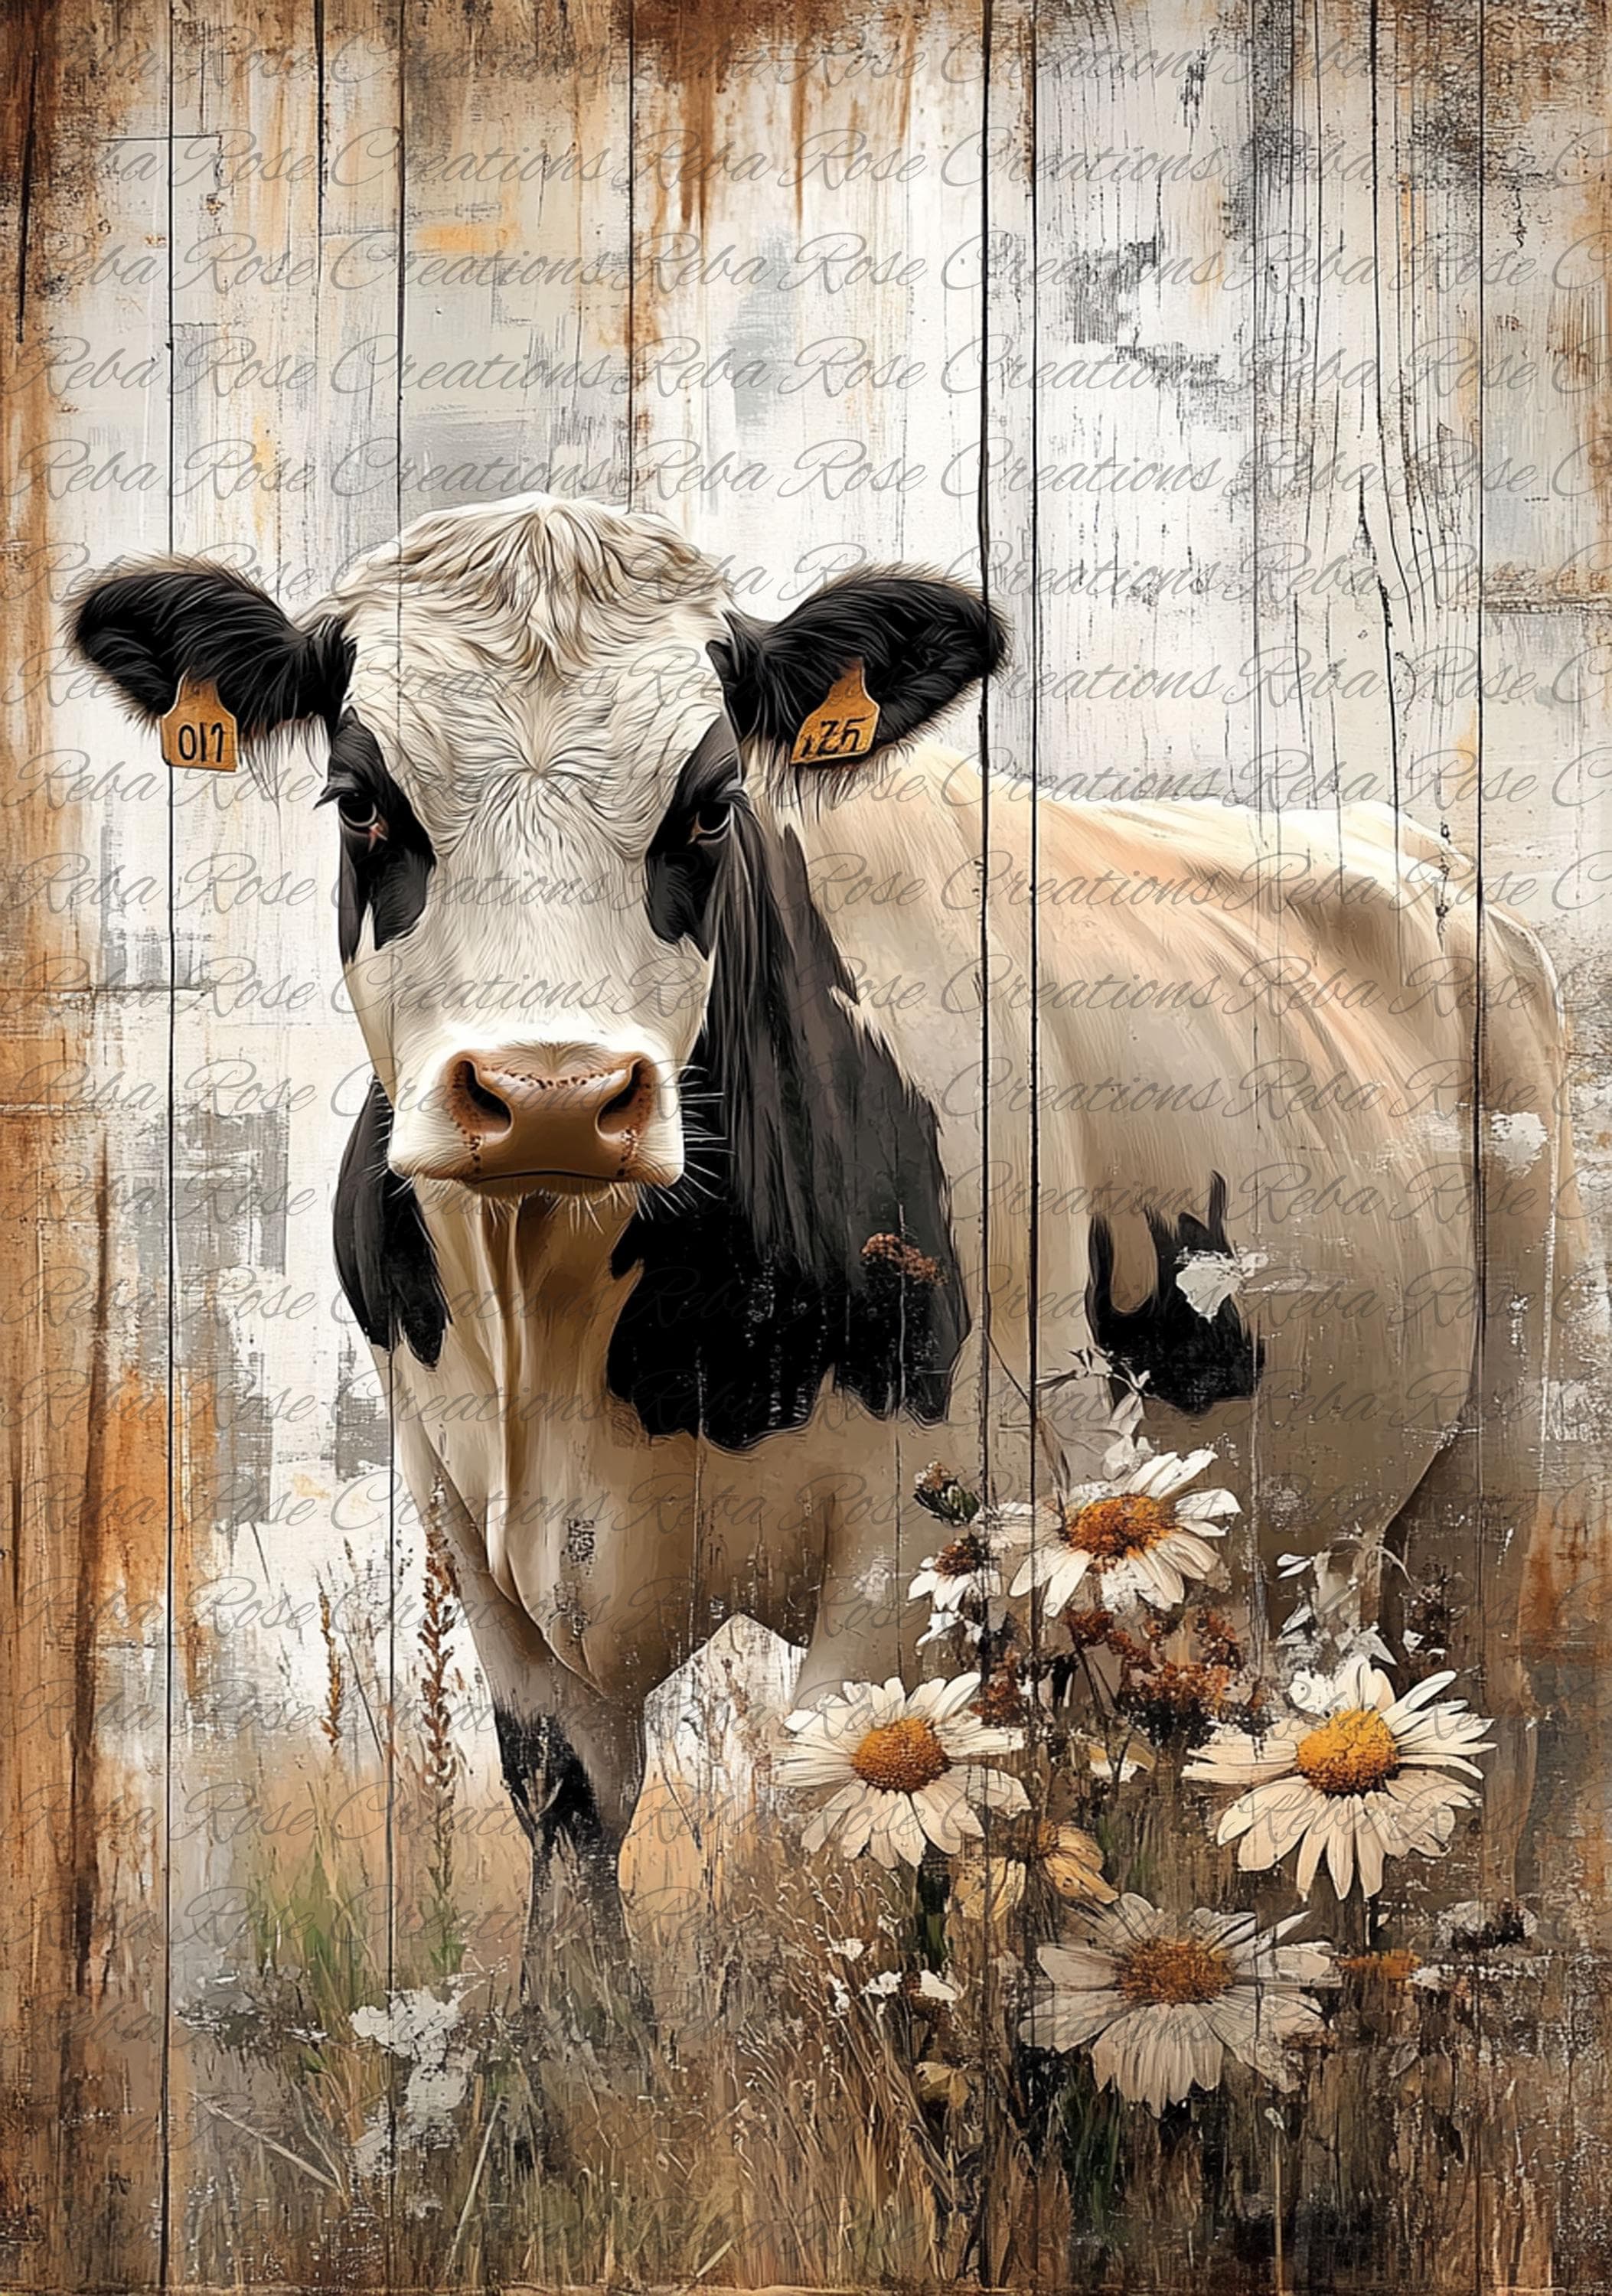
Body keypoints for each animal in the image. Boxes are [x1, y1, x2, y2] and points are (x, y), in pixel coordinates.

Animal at [69, 492, 1585, 1923]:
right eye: (360, 800)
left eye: (708, 803)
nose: (552, 1094)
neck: (567, 1337)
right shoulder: (475, 1537)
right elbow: (572, 1848)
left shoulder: (933, 1546)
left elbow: (828, 1862)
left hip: (1490, 1456)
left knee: (1481, 1713)